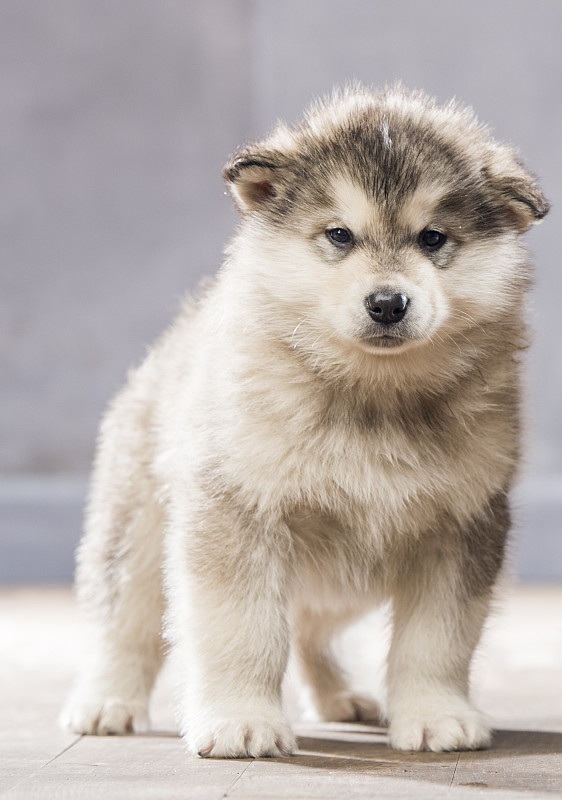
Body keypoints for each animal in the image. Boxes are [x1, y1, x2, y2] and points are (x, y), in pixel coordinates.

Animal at [61, 86, 548, 756]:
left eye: (432, 238)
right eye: (340, 235)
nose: (388, 303)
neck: (373, 396)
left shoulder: (462, 524)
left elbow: (436, 640)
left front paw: (434, 714)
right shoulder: (238, 512)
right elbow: (242, 632)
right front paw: (241, 720)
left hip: (344, 581)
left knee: (312, 629)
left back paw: (341, 696)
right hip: (138, 535)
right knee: (124, 626)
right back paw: (105, 701)